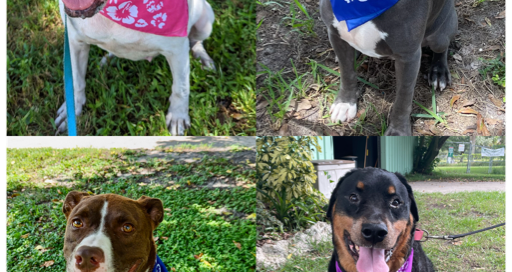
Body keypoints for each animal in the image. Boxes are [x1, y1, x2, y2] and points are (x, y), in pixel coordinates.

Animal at [320, 0, 456, 135]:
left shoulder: (408, 56)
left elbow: (403, 98)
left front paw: (398, 132)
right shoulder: (335, 35)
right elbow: (347, 74)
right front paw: (344, 103)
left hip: (439, 38)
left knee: (442, 48)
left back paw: (439, 73)